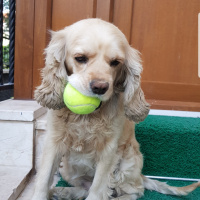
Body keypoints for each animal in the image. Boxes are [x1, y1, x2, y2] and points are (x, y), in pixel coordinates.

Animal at [32, 18, 199, 200]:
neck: (89, 117)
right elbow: (43, 179)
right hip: (67, 168)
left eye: (115, 62)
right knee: (86, 188)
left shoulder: (109, 150)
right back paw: (62, 191)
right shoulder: (53, 142)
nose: (100, 87)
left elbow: (98, 189)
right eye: (80, 58)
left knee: (133, 191)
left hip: (128, 162)